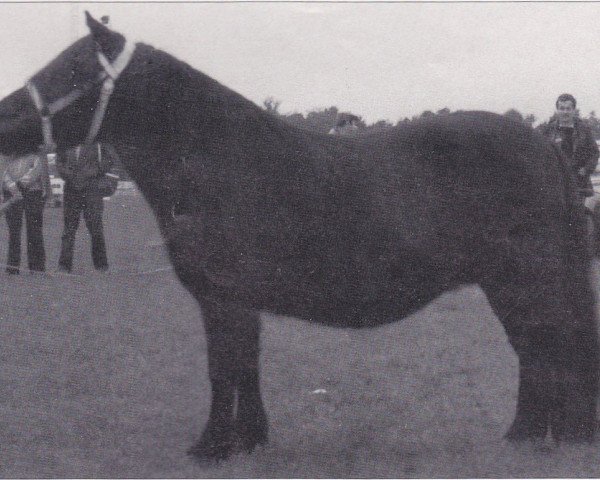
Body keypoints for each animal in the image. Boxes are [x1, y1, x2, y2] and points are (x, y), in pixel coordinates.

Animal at [0, 13, 596, 460]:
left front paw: (211, 447)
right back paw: (525, 436)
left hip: (526, 281)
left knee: (547, 346)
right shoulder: (237, 302)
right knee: (536, 350)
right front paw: (250, 440)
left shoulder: (223, 299)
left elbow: (224, 368)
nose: (3, 118)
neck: (217, 159)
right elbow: (246, 366)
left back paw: (544, 436)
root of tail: (546, 147)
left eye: (70, 69)